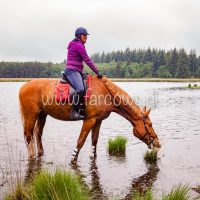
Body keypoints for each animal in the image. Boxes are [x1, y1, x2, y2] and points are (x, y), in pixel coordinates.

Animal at [19, 76, 161, 163]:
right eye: (150, 124)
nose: (158, 143)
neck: (106, 94)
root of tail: (23, 87)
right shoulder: (89, 120)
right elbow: (81, 140)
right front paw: (73, 158)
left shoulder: (98, 121)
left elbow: (94, 140)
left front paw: (92, 155)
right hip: (31, 115)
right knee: (28, 135)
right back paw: (31, 156)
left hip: (42, 114)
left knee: (38, 133)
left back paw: (40, 152)